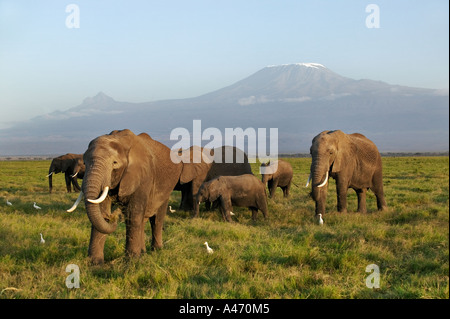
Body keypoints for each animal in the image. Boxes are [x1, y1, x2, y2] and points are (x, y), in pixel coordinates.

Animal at [66, 129, 181, 264]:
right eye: (85, 163)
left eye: (114, 163)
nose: (112, 217)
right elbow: (101, 210)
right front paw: (95, 263)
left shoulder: (143, 176)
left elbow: (133, 214)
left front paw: (132, 262)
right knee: (143, 220)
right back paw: (143, 252)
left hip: (167, 188)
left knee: (156, 219)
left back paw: (156, 250)